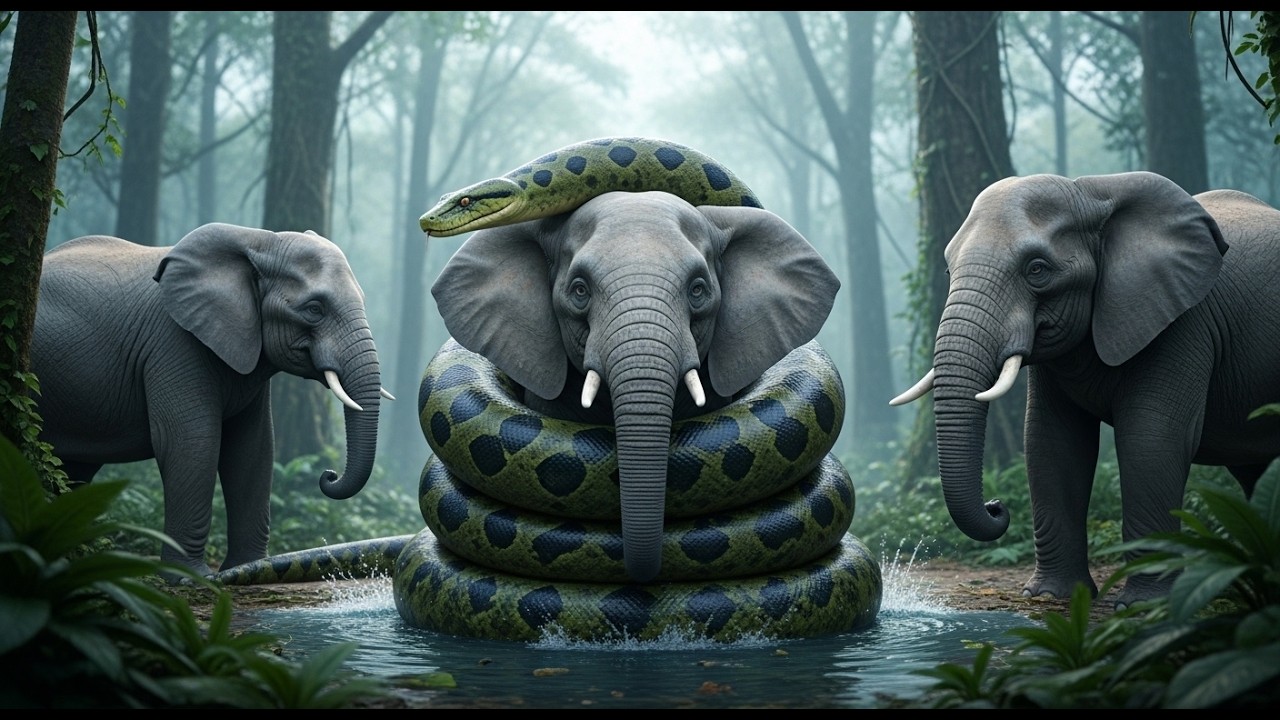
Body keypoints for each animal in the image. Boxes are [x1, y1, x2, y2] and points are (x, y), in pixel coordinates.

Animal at [31, 222, 388, 578]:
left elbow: (253, 448)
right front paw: (191, 577)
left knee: (74, 468)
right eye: (314, 309)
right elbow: (191, 442)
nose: (328, 475)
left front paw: (250, 568)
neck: (261, 241)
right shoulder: (173, 342)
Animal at [890, 170, 1280, 607]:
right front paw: (1050, 596)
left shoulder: (1184, 322)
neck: (1091, 191)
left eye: (1037, 270)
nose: (996, 506)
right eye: (947, 271)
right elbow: (1051, 443)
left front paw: (1142, 605)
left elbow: (1151, 440)